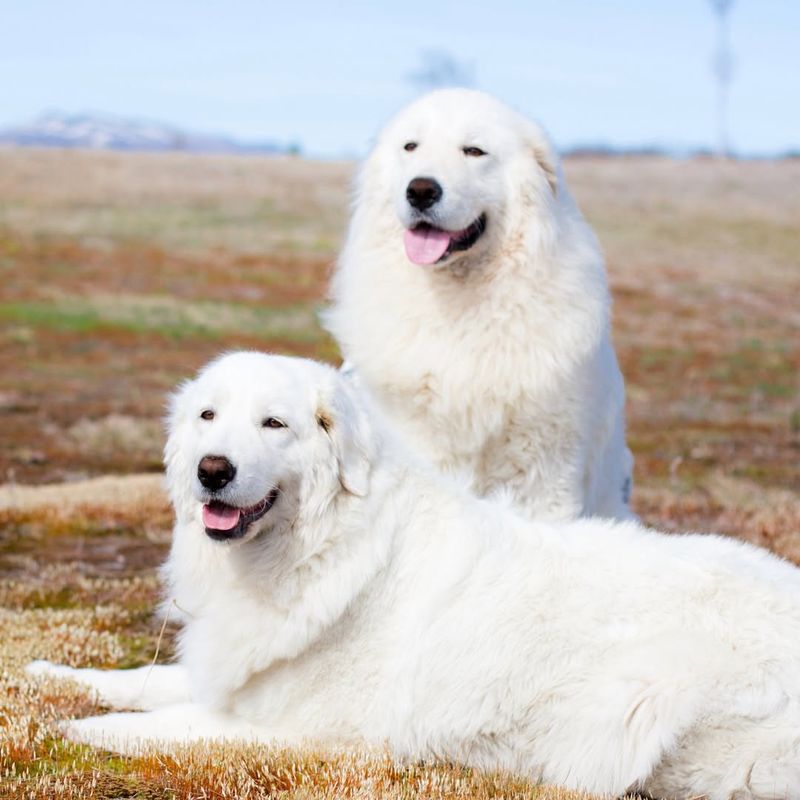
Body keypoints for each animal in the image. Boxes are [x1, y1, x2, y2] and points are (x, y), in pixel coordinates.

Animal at [29, 354, 800, 800]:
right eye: (207, 416)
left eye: (274, 424)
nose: (210, 470)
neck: (323, 546)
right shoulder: (232, 677)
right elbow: (140, 682)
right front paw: (48, 676)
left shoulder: (308, 735)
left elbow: (153, 725)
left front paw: (68, 728)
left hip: (648, 714)